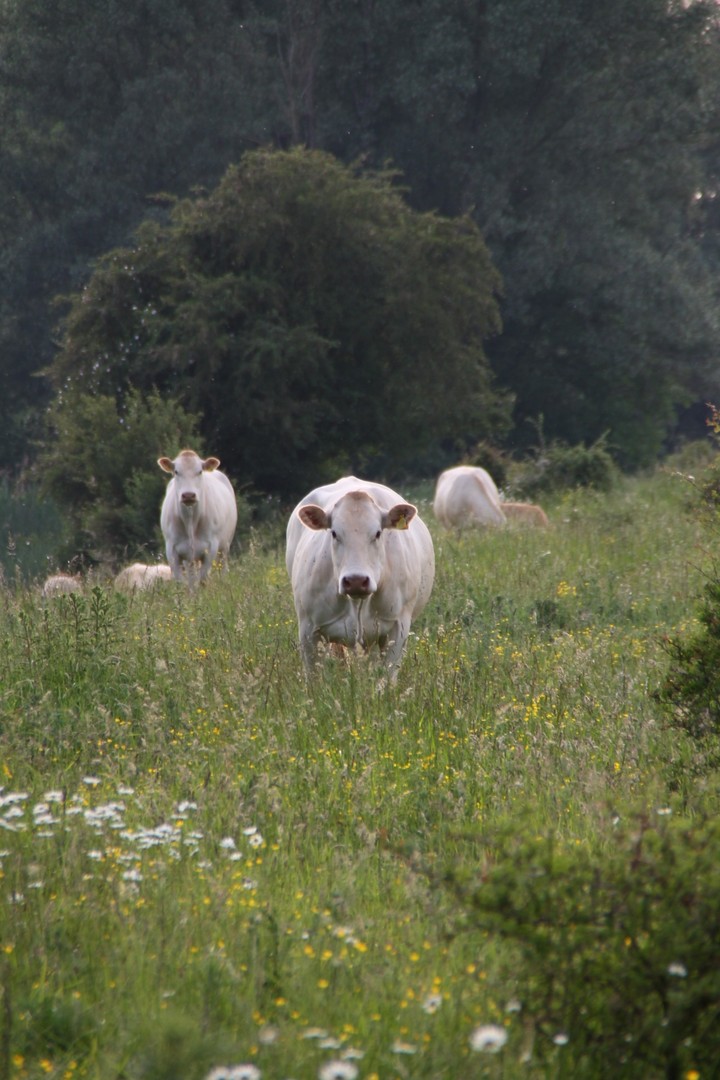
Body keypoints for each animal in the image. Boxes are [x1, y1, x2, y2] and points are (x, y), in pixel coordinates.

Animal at [158, 449, 238, 585]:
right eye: (176, 471)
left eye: (199, 471)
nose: (188, 495)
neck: (190, 521)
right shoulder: (171, 549)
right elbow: (182, 581)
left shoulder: (211, 547)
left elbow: (203, 580)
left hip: (225, 545)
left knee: (223, 568)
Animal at [286, 476, 435, 678]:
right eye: (334, 533)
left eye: (378, 533)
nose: (355, 580)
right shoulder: (308, 629)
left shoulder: (398, 628)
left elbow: (386, 677)